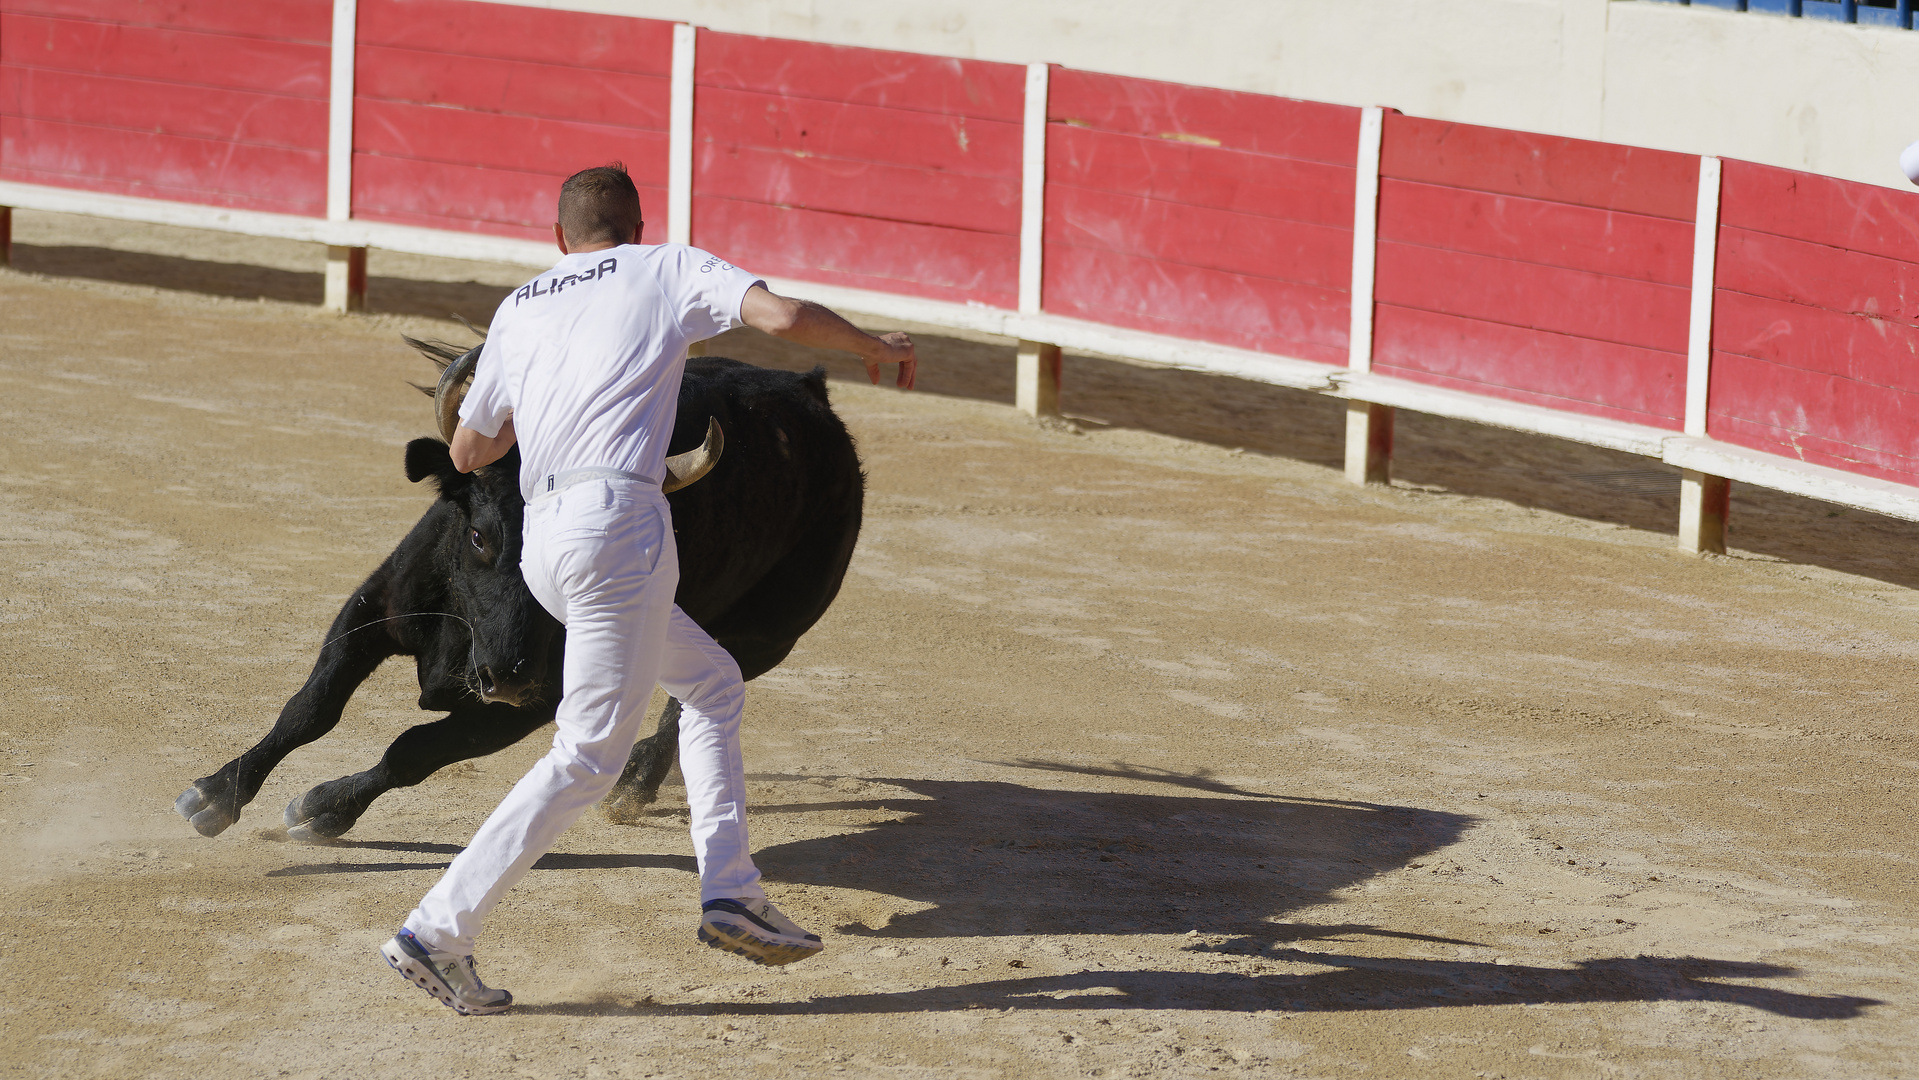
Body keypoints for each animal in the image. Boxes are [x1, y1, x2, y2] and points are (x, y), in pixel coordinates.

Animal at [176, 358, 867, 840]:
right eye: (481, 535)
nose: (507, 674)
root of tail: (810, 388)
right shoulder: (376, 607)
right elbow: (310, 708)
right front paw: (214, 795)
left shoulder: (529, 705)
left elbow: (414, 750)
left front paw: (321, 810)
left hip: (769, 636)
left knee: (702, 696)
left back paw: (634, 785)